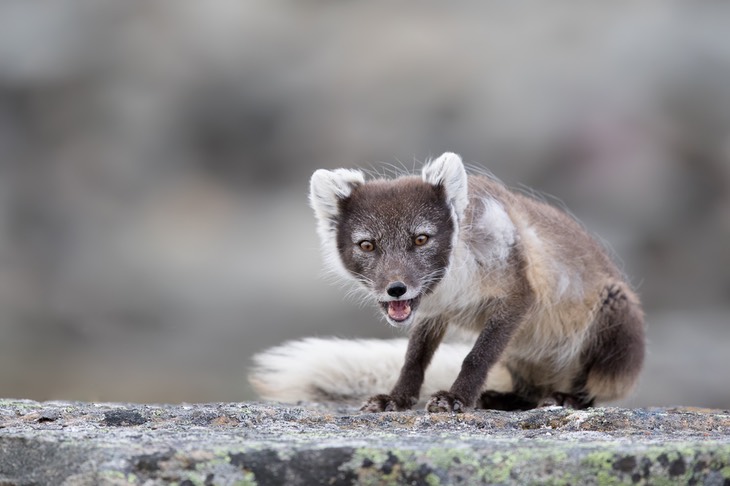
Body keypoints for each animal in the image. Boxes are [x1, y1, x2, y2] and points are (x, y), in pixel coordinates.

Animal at [250, 154, 644, 412]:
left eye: (421, 239)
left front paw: (457, 398)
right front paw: (397, 398)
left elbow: (477, 355)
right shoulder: (430, 312)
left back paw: (566, 398)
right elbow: (414, 358)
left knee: (594, 390)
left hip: (614, 315)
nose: (396, 288)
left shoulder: (518, 295)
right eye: (367, 245)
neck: (454, 279)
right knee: (529, 391)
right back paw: (503, 398)